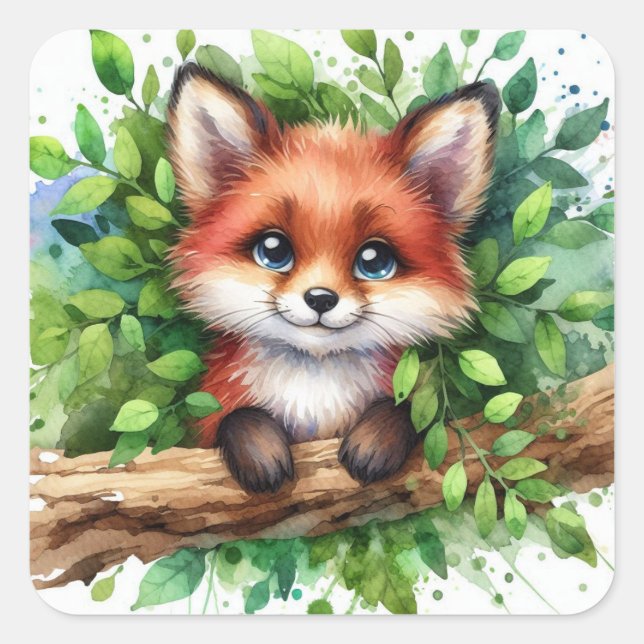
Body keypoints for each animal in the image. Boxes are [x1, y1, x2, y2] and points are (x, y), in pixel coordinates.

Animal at [166, 62, 500, 494]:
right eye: (273, 250)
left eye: (374, 261)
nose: (321, 299)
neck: (315, 388)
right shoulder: (211, 415)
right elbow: (237, 418)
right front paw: (259, 449)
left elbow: (407, 413)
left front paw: (376, 439)